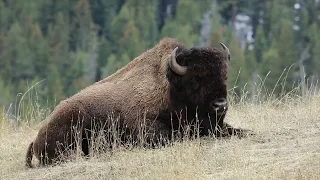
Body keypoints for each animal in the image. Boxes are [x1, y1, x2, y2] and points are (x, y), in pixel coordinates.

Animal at [25, 37, 248, 168]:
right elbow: (173, 136)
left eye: (224, 76)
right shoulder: (147, 128)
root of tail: (37, 138)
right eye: (195, 80)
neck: (170, 88)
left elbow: (235, 130)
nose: (220, 105)